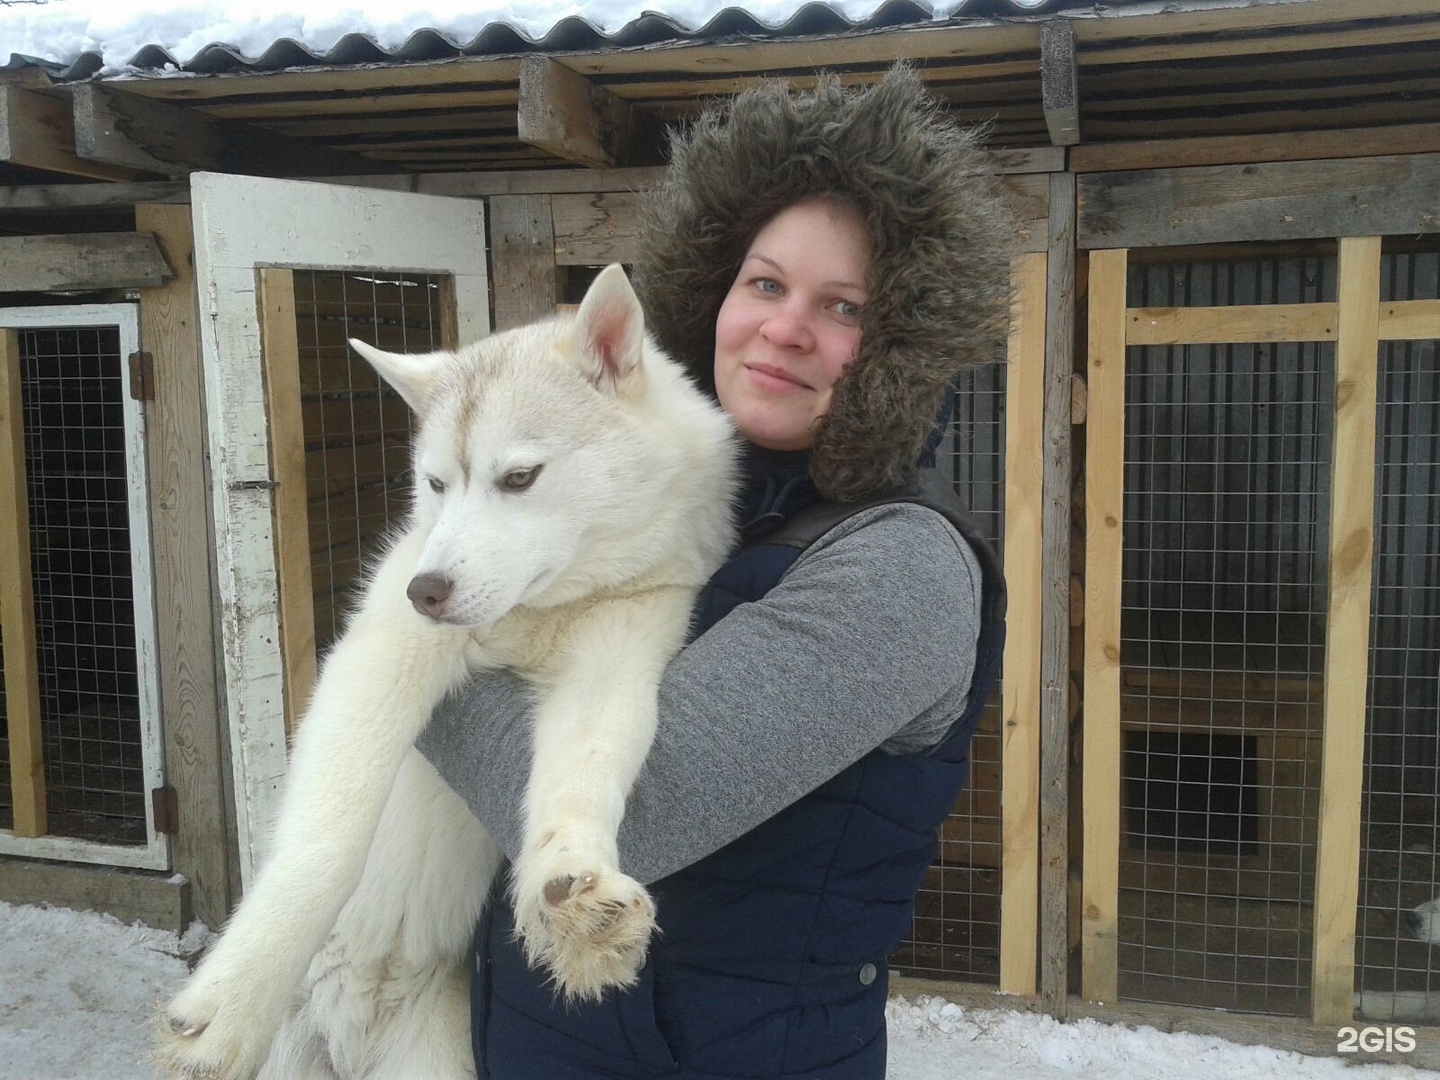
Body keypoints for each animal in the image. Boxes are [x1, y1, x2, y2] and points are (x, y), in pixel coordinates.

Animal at [156, 264, 737, 1080]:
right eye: (434, 485)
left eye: (519, 477)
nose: (424, 592)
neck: (542, 611)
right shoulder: (381, 652)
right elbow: (328, 838)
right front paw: (231, 1003)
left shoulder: (619, 653)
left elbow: (583, 775)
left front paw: (569, 890)